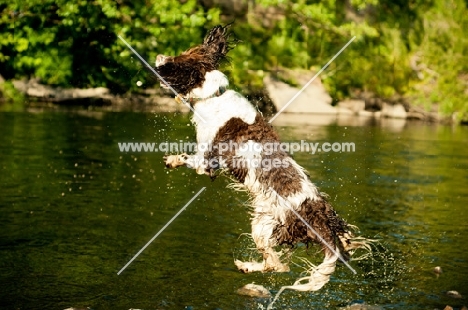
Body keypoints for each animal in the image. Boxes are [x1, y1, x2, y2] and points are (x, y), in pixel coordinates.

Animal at [155, 25, 372, 306]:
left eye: (175, 62)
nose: (158, 56)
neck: (215, 95)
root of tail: (319, 215)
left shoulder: (206, 158)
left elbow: (190, 160)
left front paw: (172, 160)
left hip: (262, 226)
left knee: (278, 266)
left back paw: (246, 266)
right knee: (277, 264)